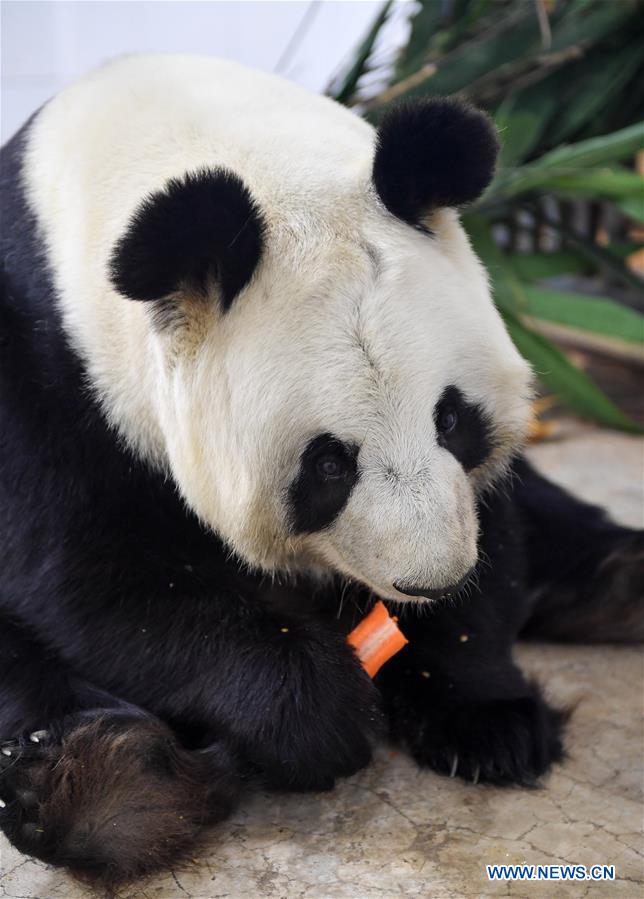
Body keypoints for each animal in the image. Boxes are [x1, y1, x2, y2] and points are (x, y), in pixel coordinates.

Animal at [1, 54, 644, 884]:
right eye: (329, 463)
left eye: (450, 418)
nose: (428, 580)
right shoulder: (41, 377)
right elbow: (99, 579)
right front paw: (321, 714)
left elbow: (493, 524)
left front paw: (487, 716)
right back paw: (114, 789)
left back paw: (619, 585)